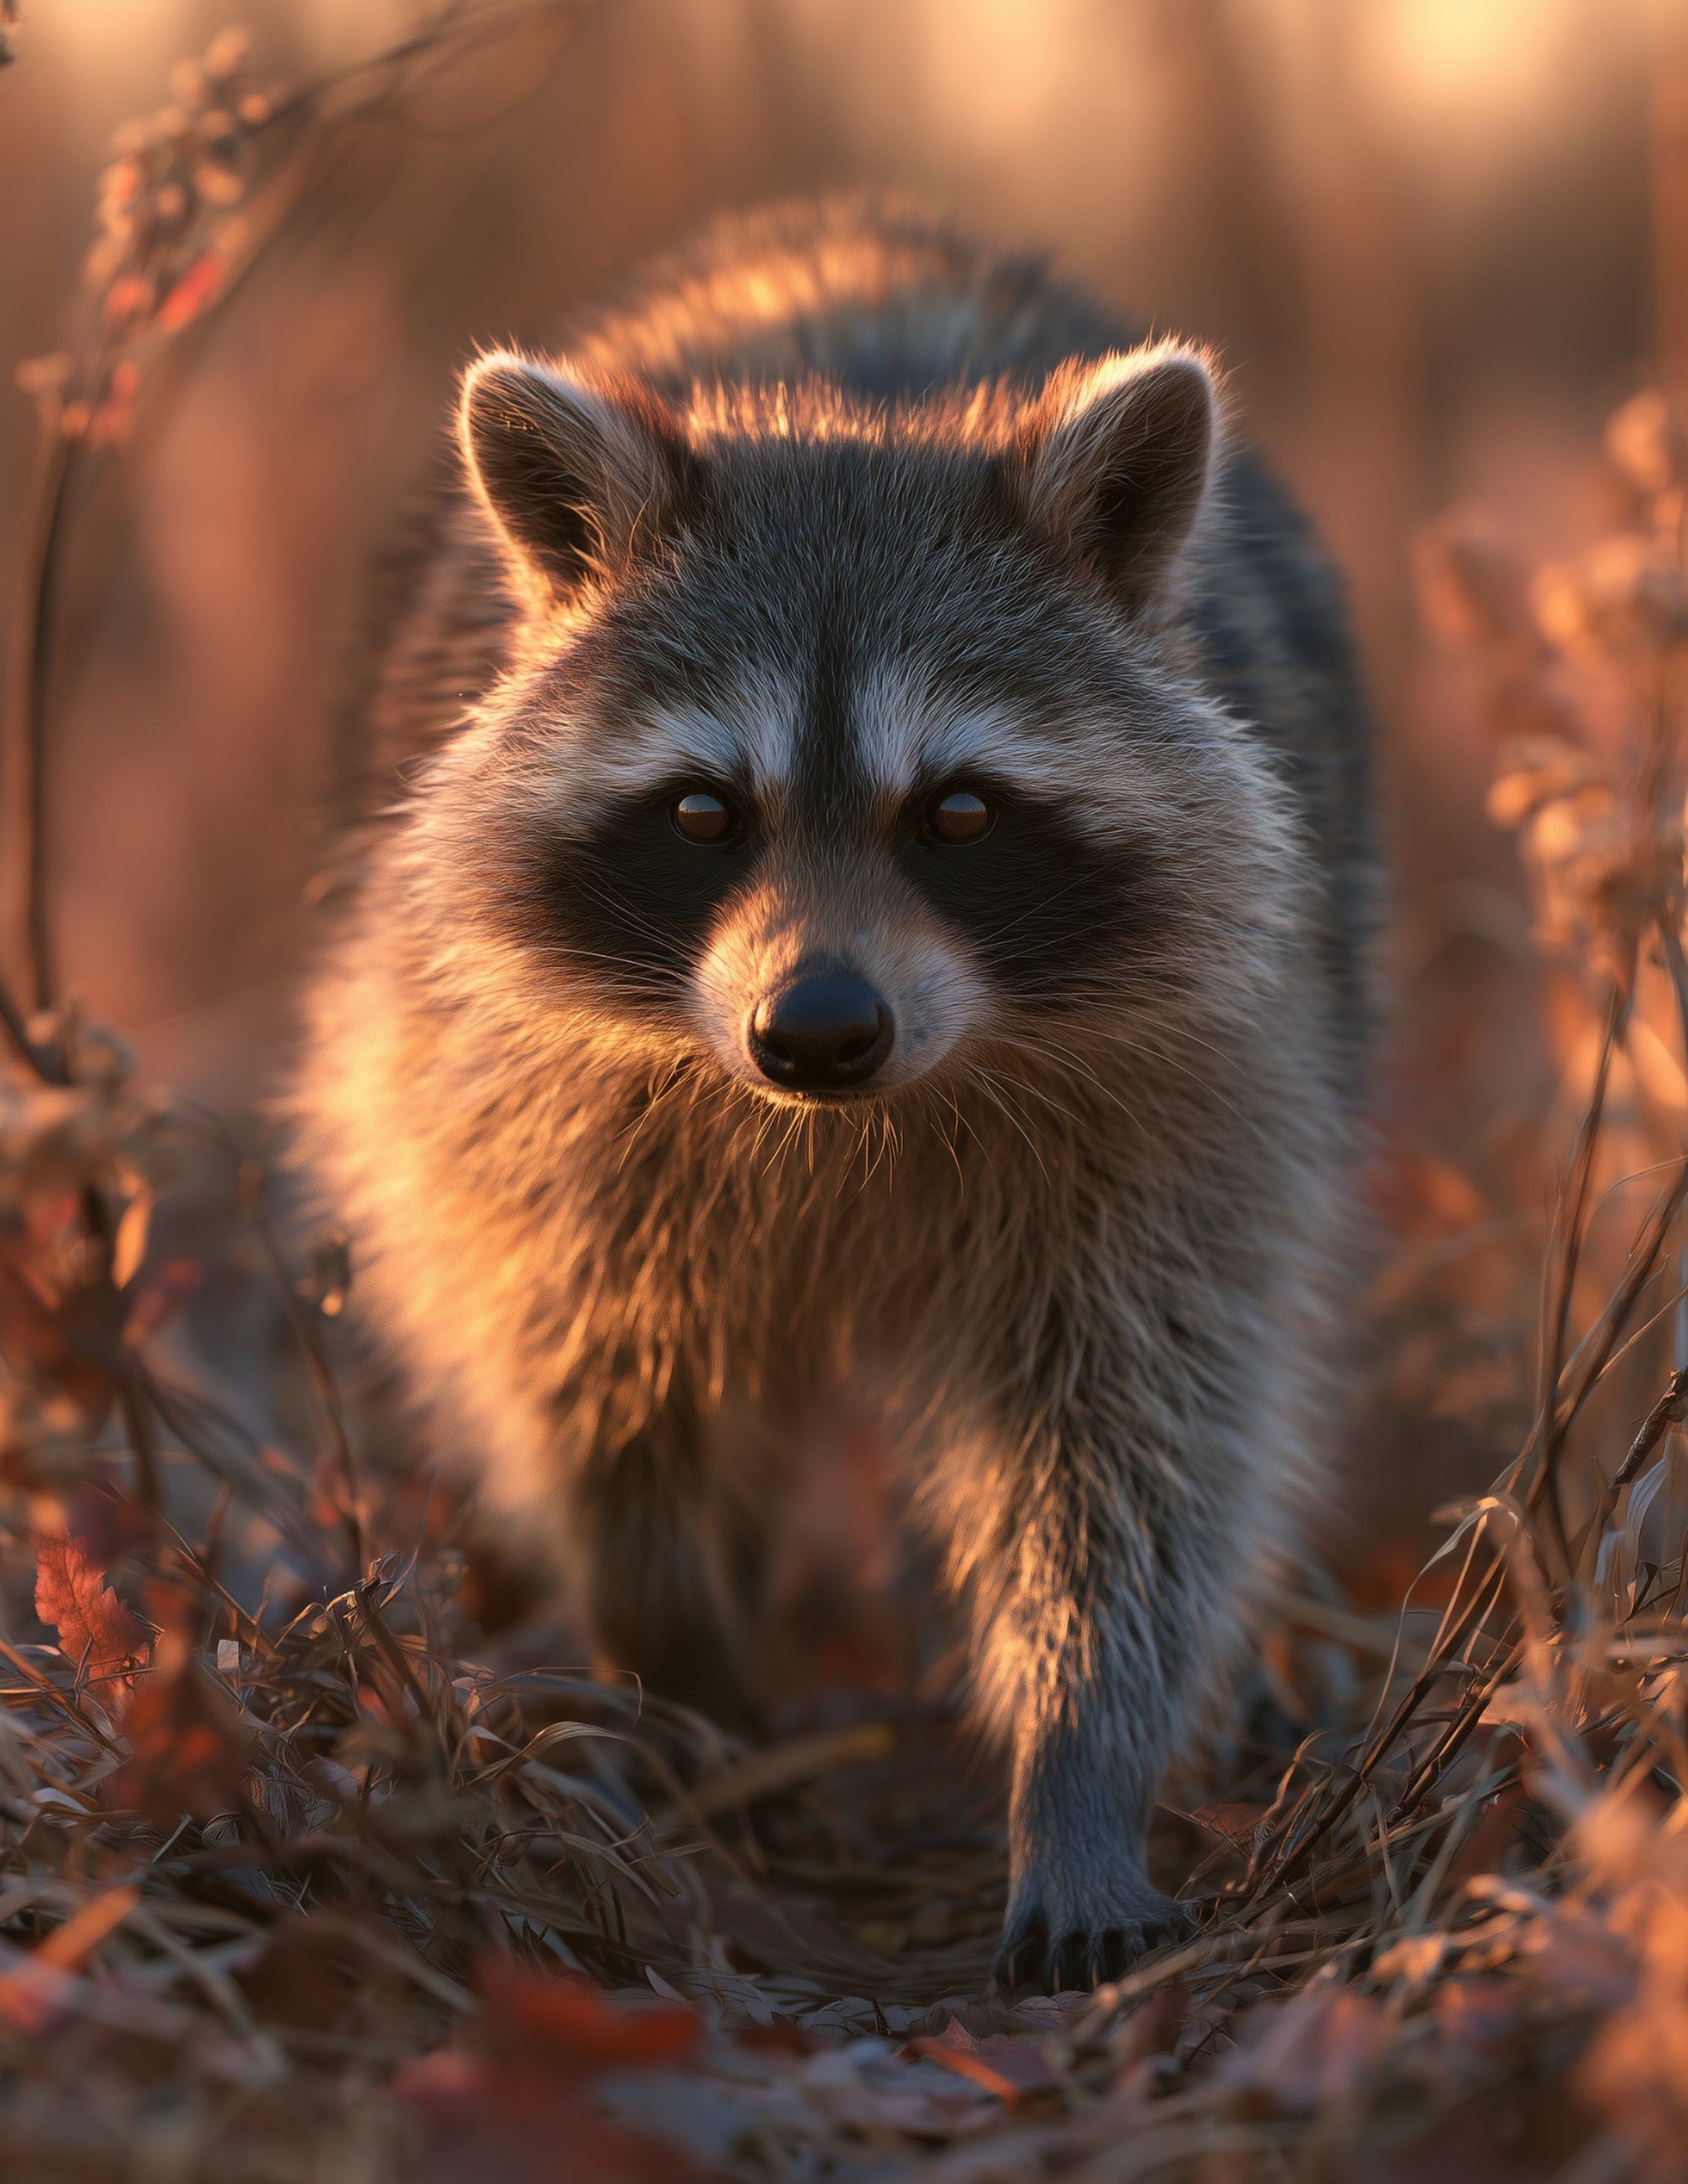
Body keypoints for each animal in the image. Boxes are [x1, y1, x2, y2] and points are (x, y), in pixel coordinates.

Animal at [291, 198, 1372, 1993]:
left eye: (960, 813)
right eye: (701, 811)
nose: (815, 1028)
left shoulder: (1195, 1093)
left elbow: (1134, 1440)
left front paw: (1080, 1762)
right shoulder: (525, 1103)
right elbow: (598, 1382)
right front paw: (678, 1662)